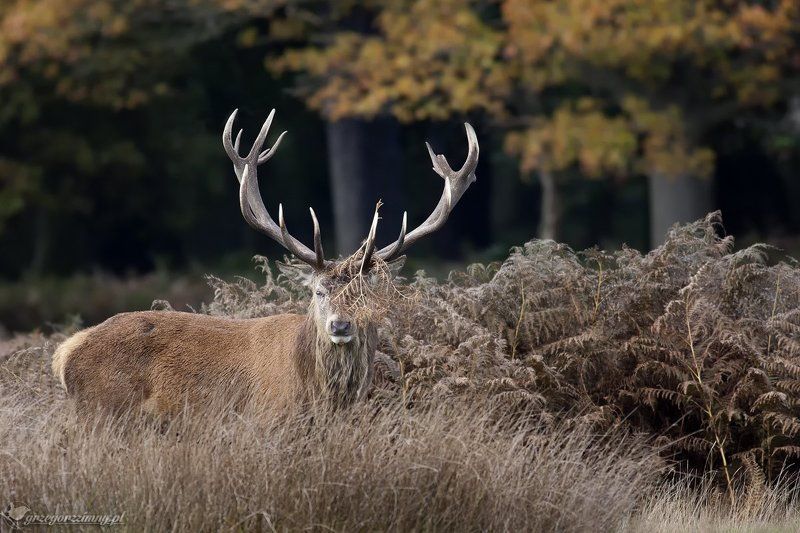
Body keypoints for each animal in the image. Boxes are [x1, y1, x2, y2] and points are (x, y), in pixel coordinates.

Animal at [51, 108, 479, 415]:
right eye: (319, 291)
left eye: (366, 296)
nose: (340, 325)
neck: (319, 399)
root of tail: (66, 352)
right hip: (103, 412)